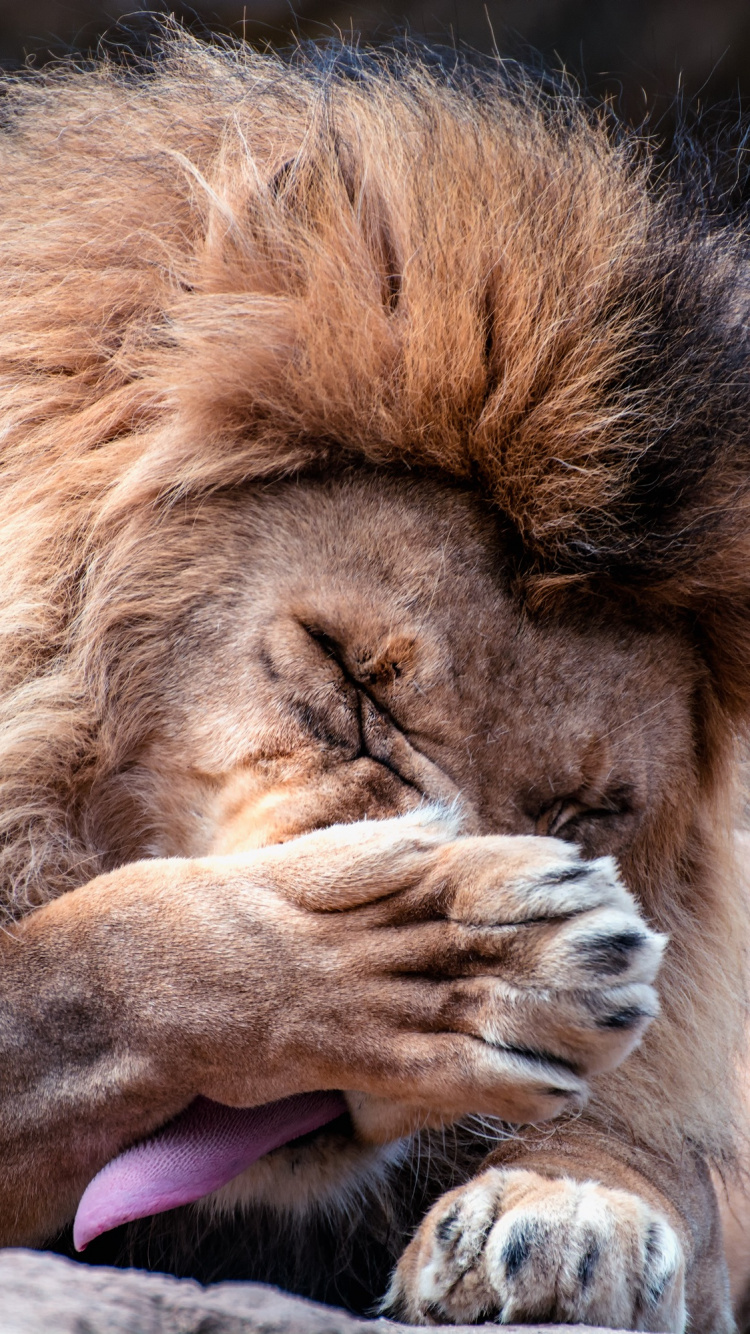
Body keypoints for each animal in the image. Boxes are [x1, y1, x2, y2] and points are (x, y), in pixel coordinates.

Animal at [0, 31, 749, 1333]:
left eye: (589, 812)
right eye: (350, 681)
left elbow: (678, 1156)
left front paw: (574, 1204)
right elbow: (85, 963)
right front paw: (446, 952)